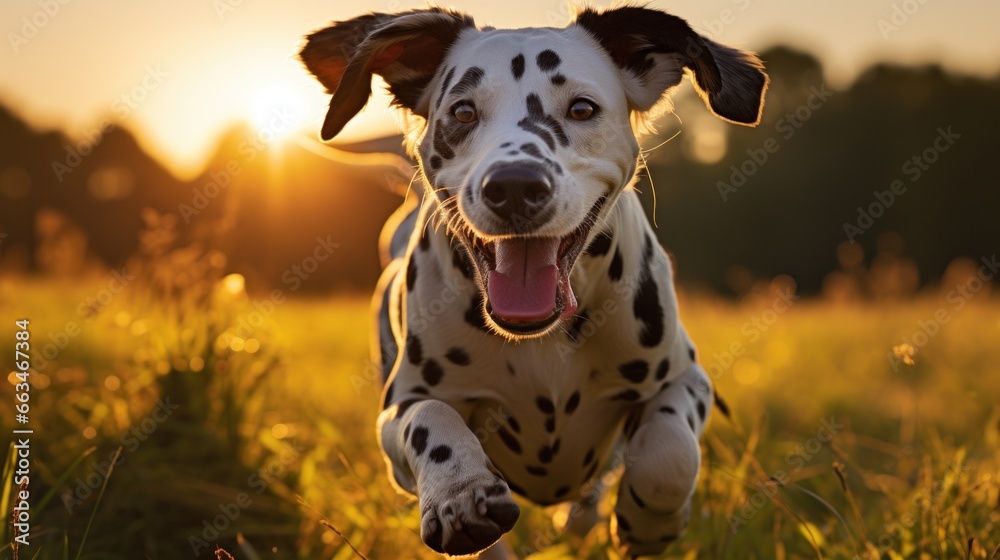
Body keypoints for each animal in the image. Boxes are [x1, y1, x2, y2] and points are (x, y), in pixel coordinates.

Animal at [298, 4, 764, 556]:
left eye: (582, 108)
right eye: (462, 112)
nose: (515, 186)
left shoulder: (686, 379)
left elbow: (669, 454)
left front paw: (651, 522)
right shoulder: (396, 413)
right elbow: (429, 416)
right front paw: (460, 493)